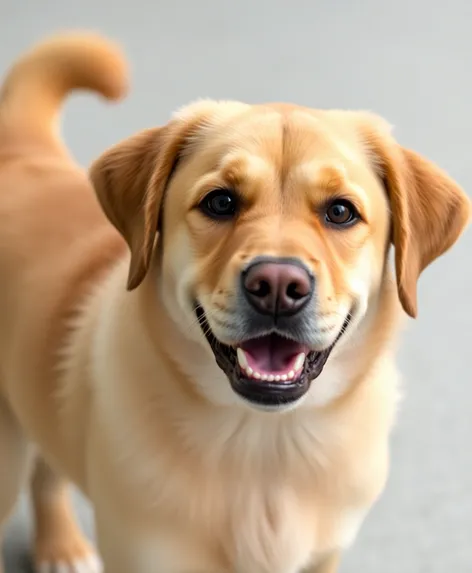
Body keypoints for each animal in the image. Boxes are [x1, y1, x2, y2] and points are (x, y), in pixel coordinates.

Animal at [0, 30, 470, 572]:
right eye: (221, 201)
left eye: (340, 211)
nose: (278, 285)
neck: (265, 445)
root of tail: (19, 151)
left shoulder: (323, 556)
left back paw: (62, 546)